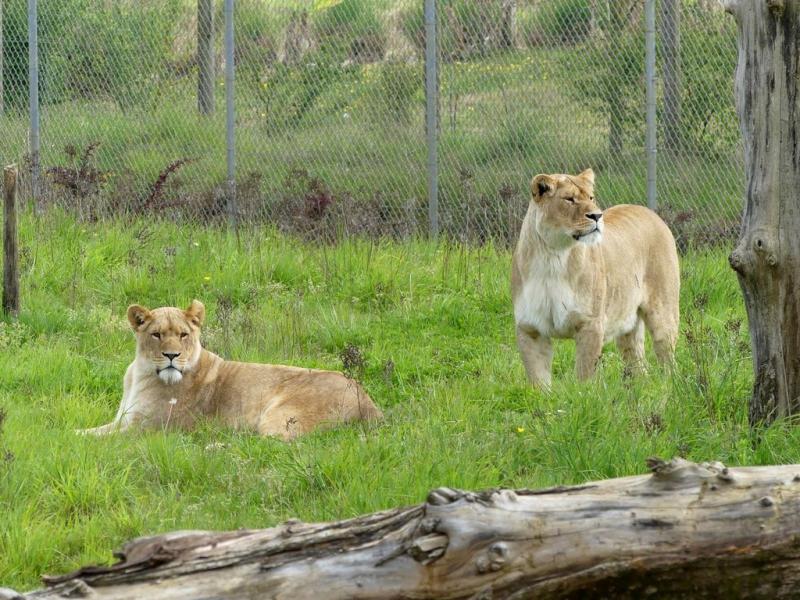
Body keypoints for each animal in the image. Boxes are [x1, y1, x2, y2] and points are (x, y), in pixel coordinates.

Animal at [78, 300, 382, 440]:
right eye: (157, 335)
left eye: (183, 335)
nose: (172, 355)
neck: (140, 373)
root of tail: (368, 400)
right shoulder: (124, 421)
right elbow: (92, 430)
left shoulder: (144, 429)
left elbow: (96, 437)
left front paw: (68, 438)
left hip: (279, 418)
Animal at [511, 169, 679, 386]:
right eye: (569, 199)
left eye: (591, 197)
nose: (597, 215)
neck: (552, 257)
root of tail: (649, 211)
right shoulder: (530, 328)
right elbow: (538, 380)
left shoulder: (589, 324)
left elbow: (585, 374)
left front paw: (582, 392)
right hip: (627, 325)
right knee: (638, 364)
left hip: (663, 313)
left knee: (668, 358)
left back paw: (670, 386)